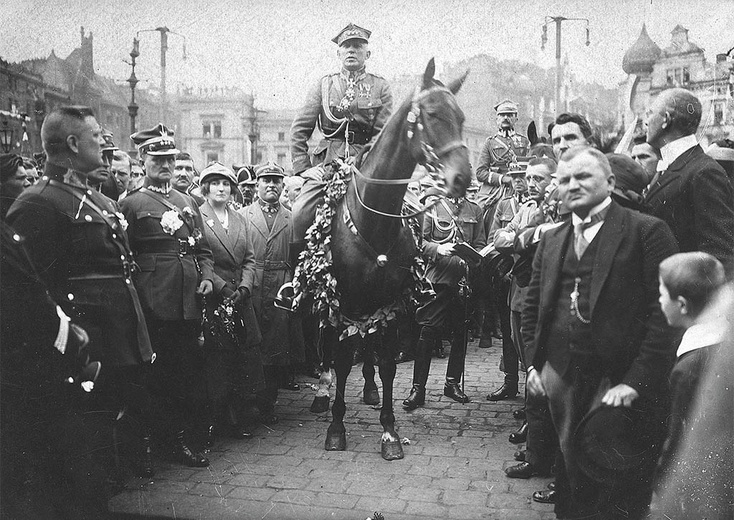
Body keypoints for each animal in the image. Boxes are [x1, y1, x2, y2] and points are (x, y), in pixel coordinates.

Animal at [320, 59, 472, 462]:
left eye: (461, 117)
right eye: (432, 114)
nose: (463, 177)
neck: (374, 219)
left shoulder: (389, 301)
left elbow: (387, 364)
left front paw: (389, 431)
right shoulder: (346, 299)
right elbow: (343, 360)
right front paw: (336, 427)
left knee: (370, 349)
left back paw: (370, 390)